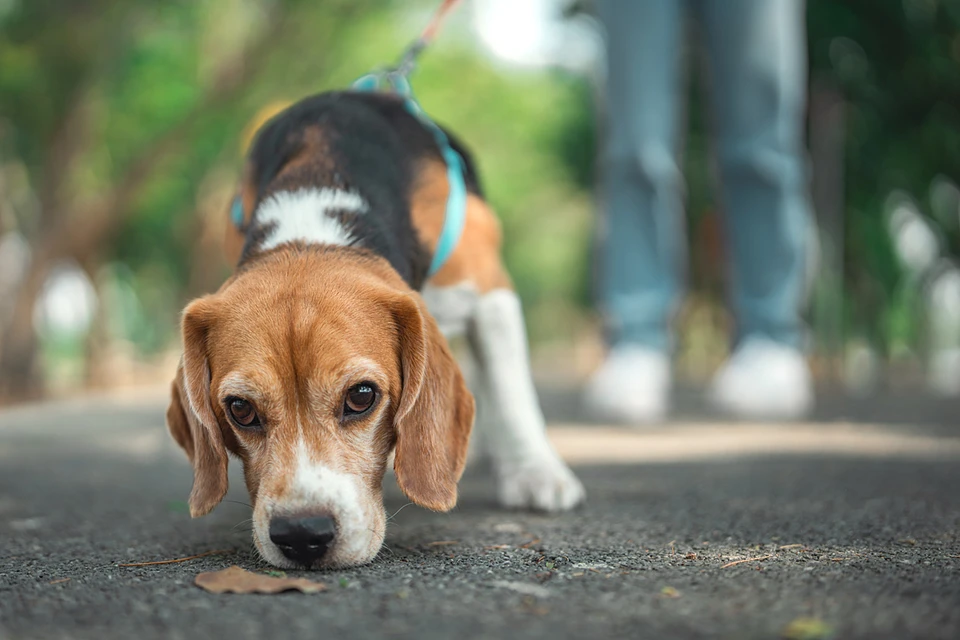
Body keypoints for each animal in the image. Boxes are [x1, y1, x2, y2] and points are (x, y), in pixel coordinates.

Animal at [166, 91, 584, 568]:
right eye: (239, 409)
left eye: (361, 397)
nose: (302, 535)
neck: (314, 215)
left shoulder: (491, 293)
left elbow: (511, 389)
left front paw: (538, 472)